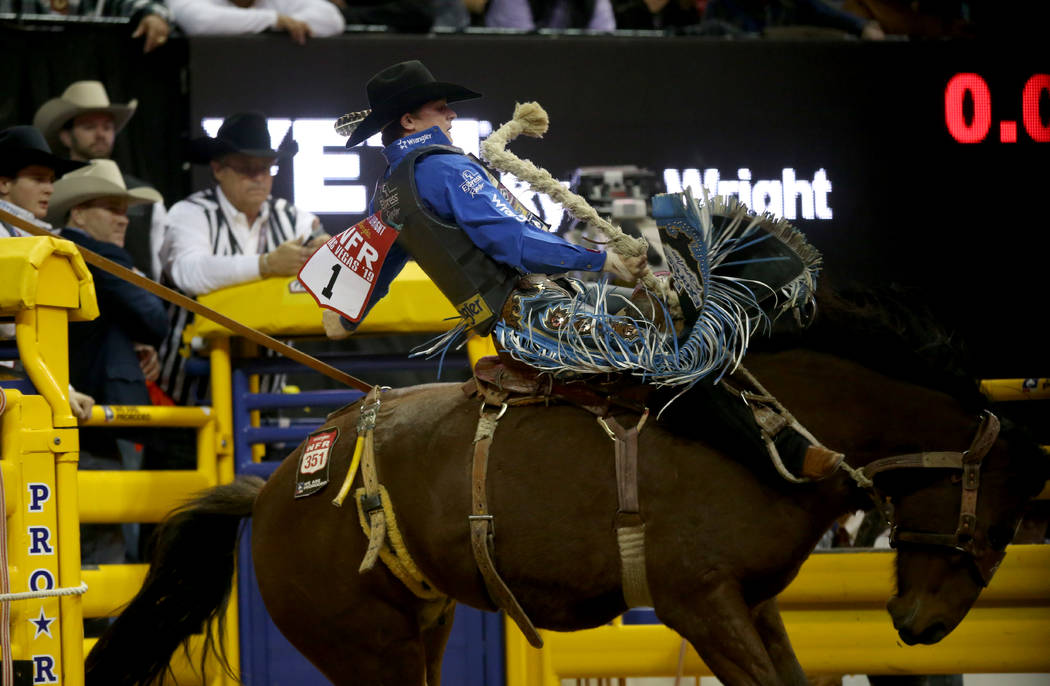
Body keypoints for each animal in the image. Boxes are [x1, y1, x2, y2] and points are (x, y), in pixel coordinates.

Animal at [86, 294, 1045, 684]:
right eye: (996, 522)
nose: (921, 629)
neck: (763, 429)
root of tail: (276, 488)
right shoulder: (700, 603)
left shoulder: (753, 604)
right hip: (362, 646)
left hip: (421, 628)